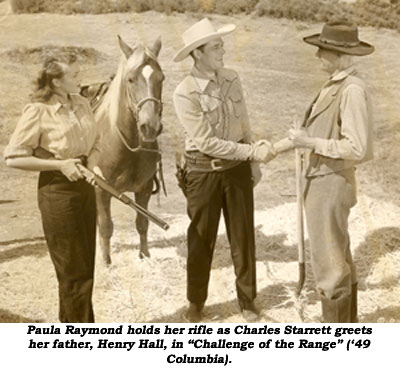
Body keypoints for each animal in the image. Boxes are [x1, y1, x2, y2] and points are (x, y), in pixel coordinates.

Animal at [85, 36, 165, 264]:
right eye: (130, 79)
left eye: (161, 78)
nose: (150, 127)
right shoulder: (101, 190)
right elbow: (105, 226)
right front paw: (106, 262)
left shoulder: (144, 189)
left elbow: (142, 223)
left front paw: (144, 255)